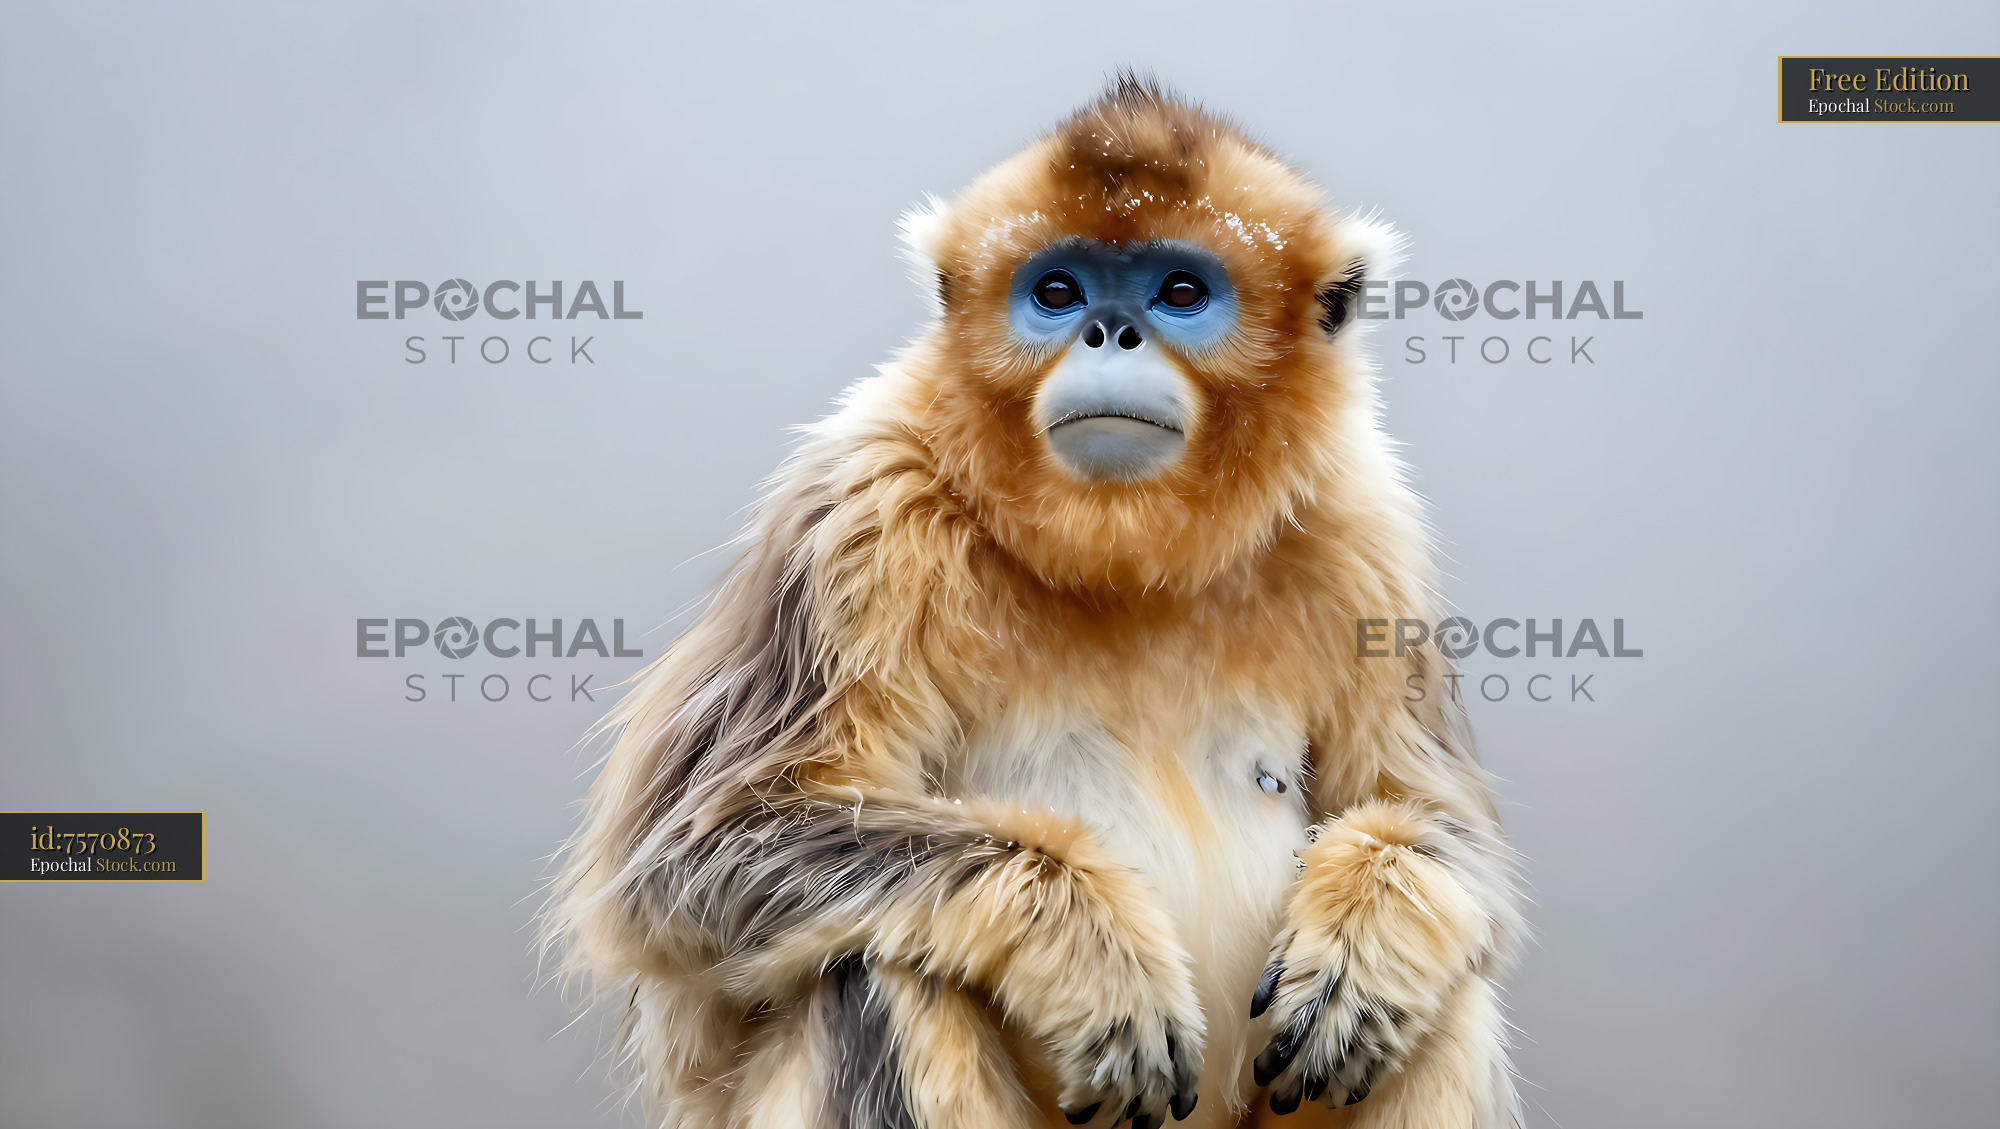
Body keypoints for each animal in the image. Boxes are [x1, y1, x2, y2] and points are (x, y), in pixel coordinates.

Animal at [548, 76, 1524, 1129]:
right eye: (1057, 292)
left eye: (1181, 293)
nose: (1110, 331)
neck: (1127, 571)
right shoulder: (860, 502)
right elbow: (698, 853)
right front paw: (1094, 954)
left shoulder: (1366, 532)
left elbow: (1449, 839)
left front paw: (1364, 943)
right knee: (872, 966)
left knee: (1447, 995)